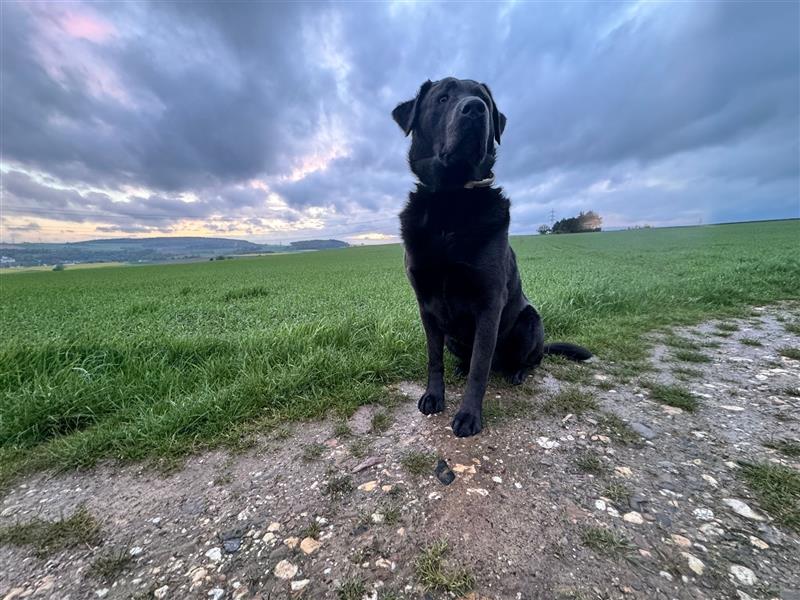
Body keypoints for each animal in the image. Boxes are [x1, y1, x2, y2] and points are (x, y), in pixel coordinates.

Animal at [392, 78, 588, 436]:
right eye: (443, 98)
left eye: (483, 98)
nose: (475, 109)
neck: (451, 201)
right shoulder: (426, 305)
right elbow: (434, 359)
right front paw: (434, 396)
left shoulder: (489, 303)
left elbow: (479, 368)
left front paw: (469, 415)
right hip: (453, 336)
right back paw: (459, 368)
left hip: (529, 322)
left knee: (528, 360)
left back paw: (517, 372)